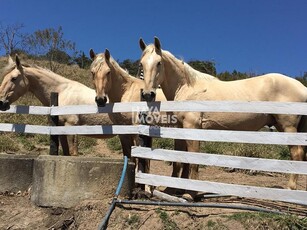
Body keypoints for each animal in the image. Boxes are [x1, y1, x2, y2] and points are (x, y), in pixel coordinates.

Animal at [0, 55, 134, 158]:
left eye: (13, 78)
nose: (1, 102)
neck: (62, 91)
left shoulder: (71, 127)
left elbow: (73, 154)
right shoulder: (61, 130)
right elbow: (65, 153)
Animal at [141, 36, 307, 200]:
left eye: (159, 63)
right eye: (142, 64)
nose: (148, 94)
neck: (187, 88)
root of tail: (302, 87)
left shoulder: (192, 127)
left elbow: (193, 160)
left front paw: (190, 193)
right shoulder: (181, 128)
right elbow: (181, 160)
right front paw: (173, 189)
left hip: (288, 127)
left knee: (297, 154)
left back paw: (290, 188)